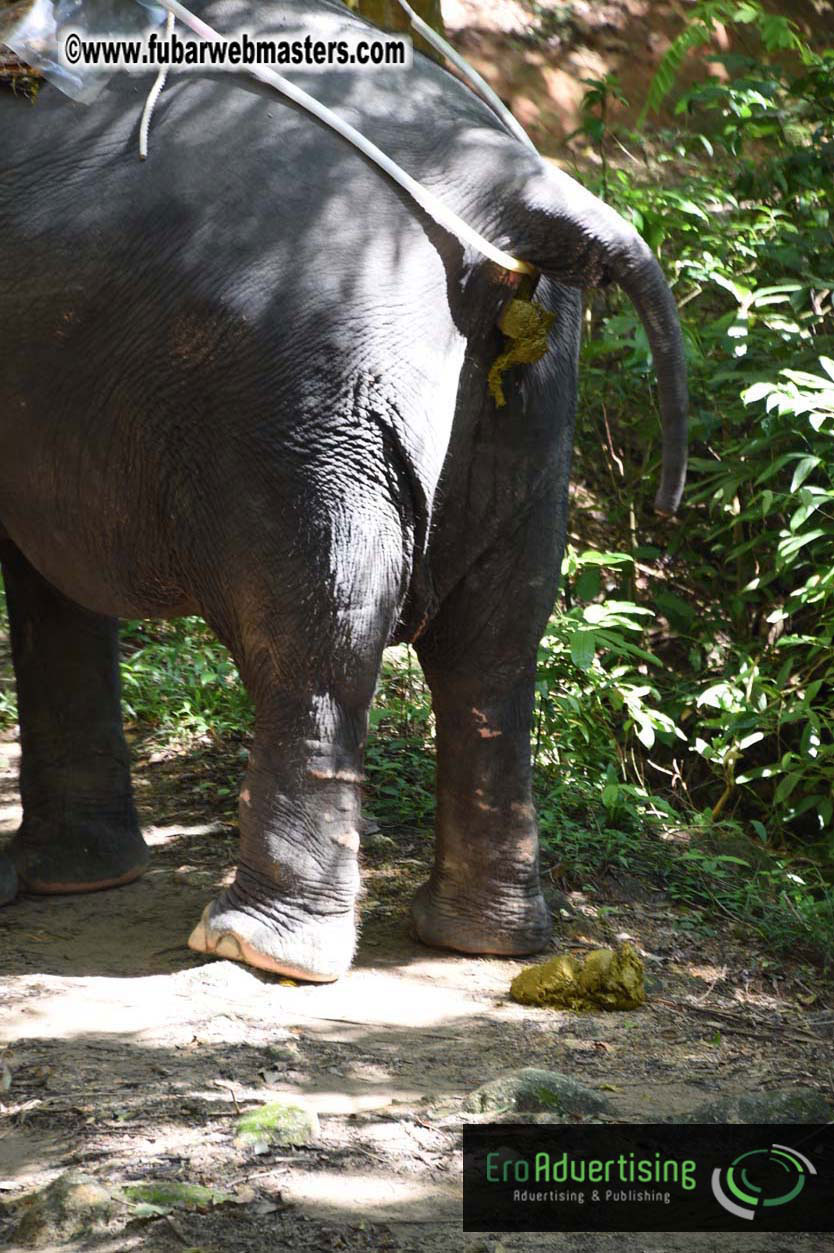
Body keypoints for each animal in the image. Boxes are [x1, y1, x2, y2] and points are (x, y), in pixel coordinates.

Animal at [0, 0, 686, 981]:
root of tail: (518, 196)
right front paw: (72, 880)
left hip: (303, 399)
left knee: (318, 632)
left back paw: (258, 945)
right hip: (531, 393)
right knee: (496, 644)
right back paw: (482, 937)